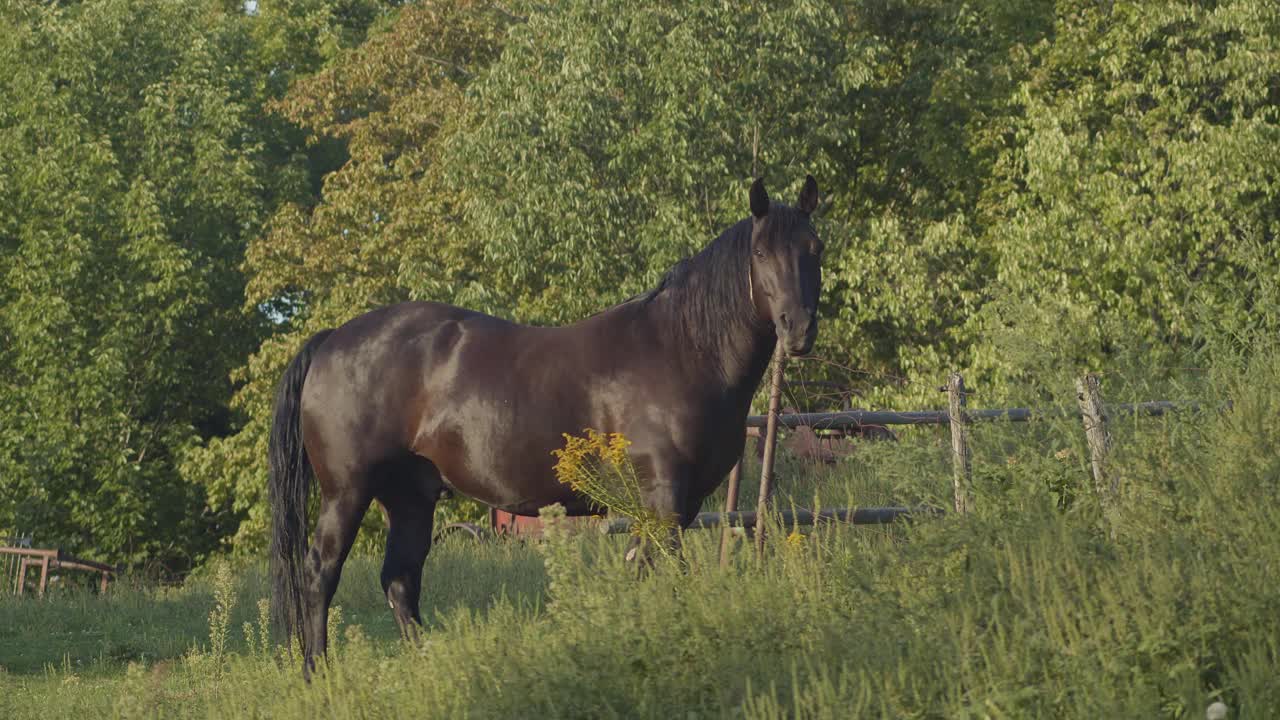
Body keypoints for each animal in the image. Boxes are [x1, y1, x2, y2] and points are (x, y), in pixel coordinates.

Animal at [271, 175, 829, 671]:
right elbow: (669, 571)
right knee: (320, 574)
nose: (799, 329)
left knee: (400, 581)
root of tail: (332, 339)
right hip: (347, 493)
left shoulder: (673, 505)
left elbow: (643, 571)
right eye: (761, 254)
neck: (681, 349)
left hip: (410, 497)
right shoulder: (664, 497)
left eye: (815, 247)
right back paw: (317, 673)